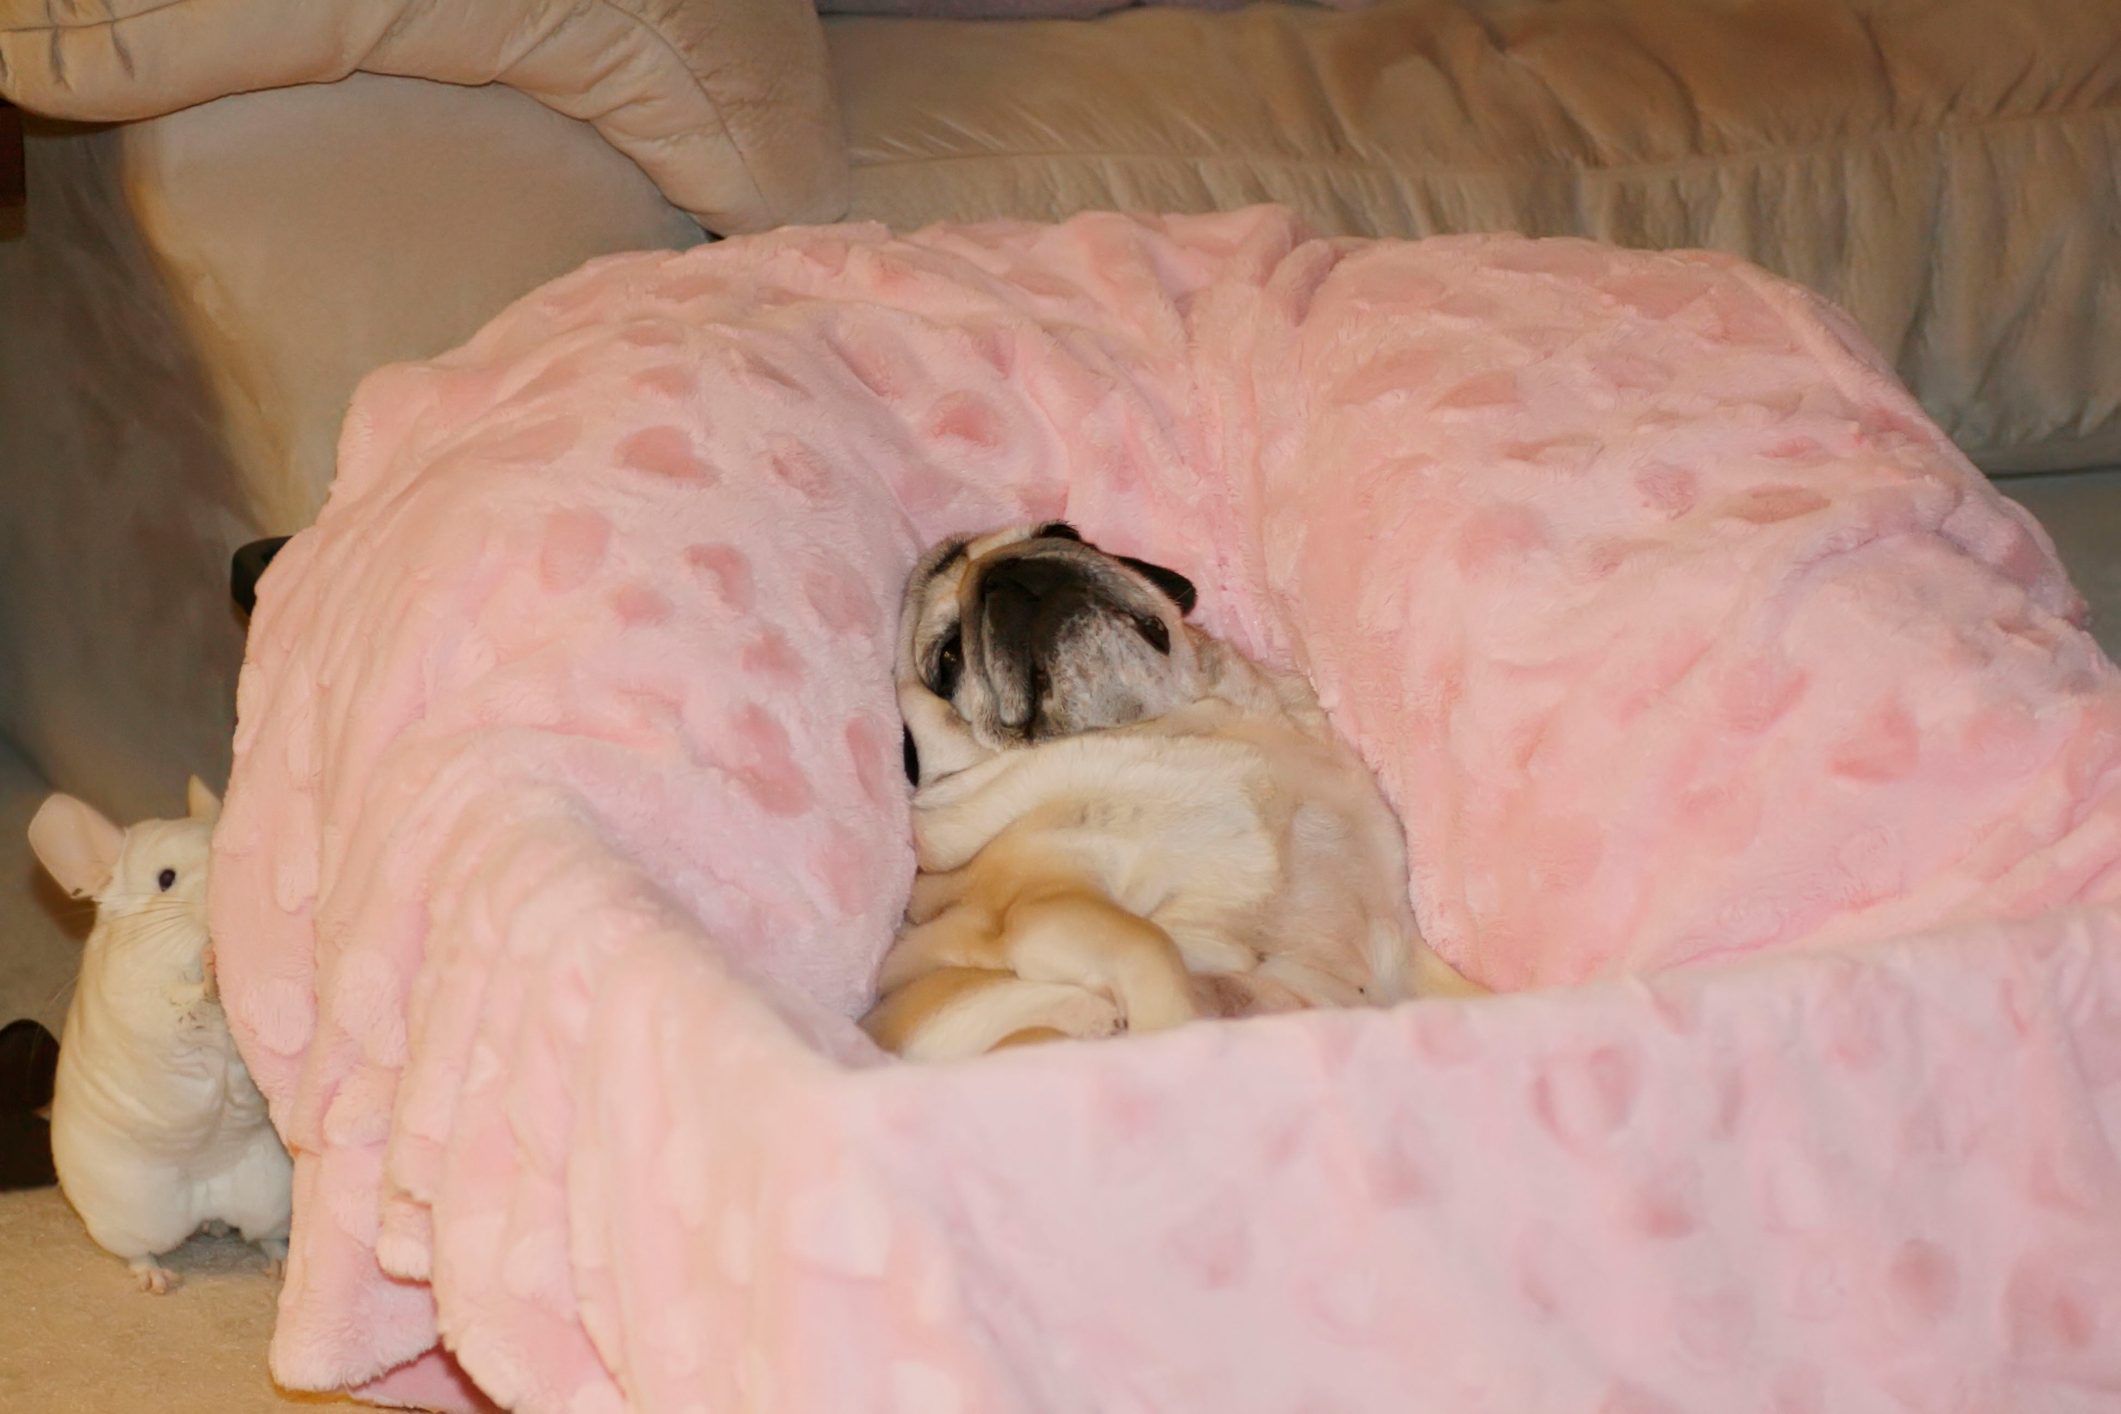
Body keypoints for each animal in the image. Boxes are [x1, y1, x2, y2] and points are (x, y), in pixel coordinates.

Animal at [861, 525, 1476, 1055]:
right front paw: (1177, 1034)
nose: (1002, 570)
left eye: (1065, 533)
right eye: (946, 660)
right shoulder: (1048, 901)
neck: (1175, 727)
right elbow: (1146, 945)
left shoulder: (1398, 942)